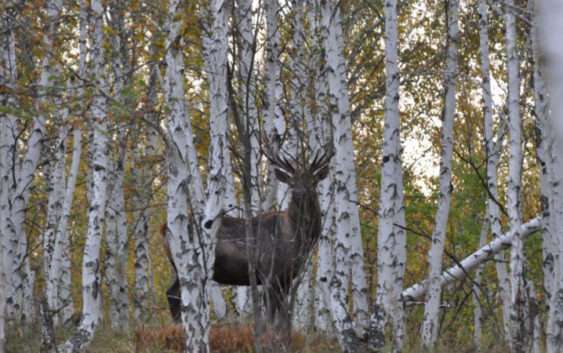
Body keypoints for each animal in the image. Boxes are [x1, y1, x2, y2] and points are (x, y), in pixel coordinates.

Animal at [165, 146, 334, 324]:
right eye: (291, 183)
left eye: (313, 181)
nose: (300, 193)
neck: (296, 240)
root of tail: (164, 228)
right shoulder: (268, 272)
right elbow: (271, 313)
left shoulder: (286, 278)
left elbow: (283, 313)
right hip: (184, 263)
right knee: (175, 294)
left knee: (172, 293)